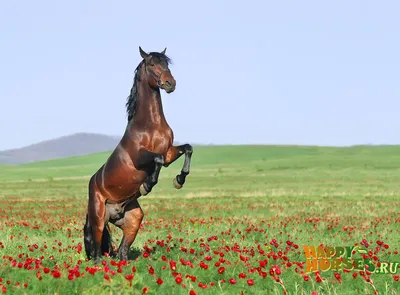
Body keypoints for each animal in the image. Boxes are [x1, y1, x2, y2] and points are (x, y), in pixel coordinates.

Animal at [83, 46, 193, 264]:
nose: (171, 83)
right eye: (151, 64)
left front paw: (179, 179)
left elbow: (187, 148)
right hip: (98, 218)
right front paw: (147, 185)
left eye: (166, 63)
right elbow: (157, 160)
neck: (151, 125)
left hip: (133, 218)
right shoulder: (140, 158)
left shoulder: (169, 152)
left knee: (122, 251)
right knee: (98, 251)